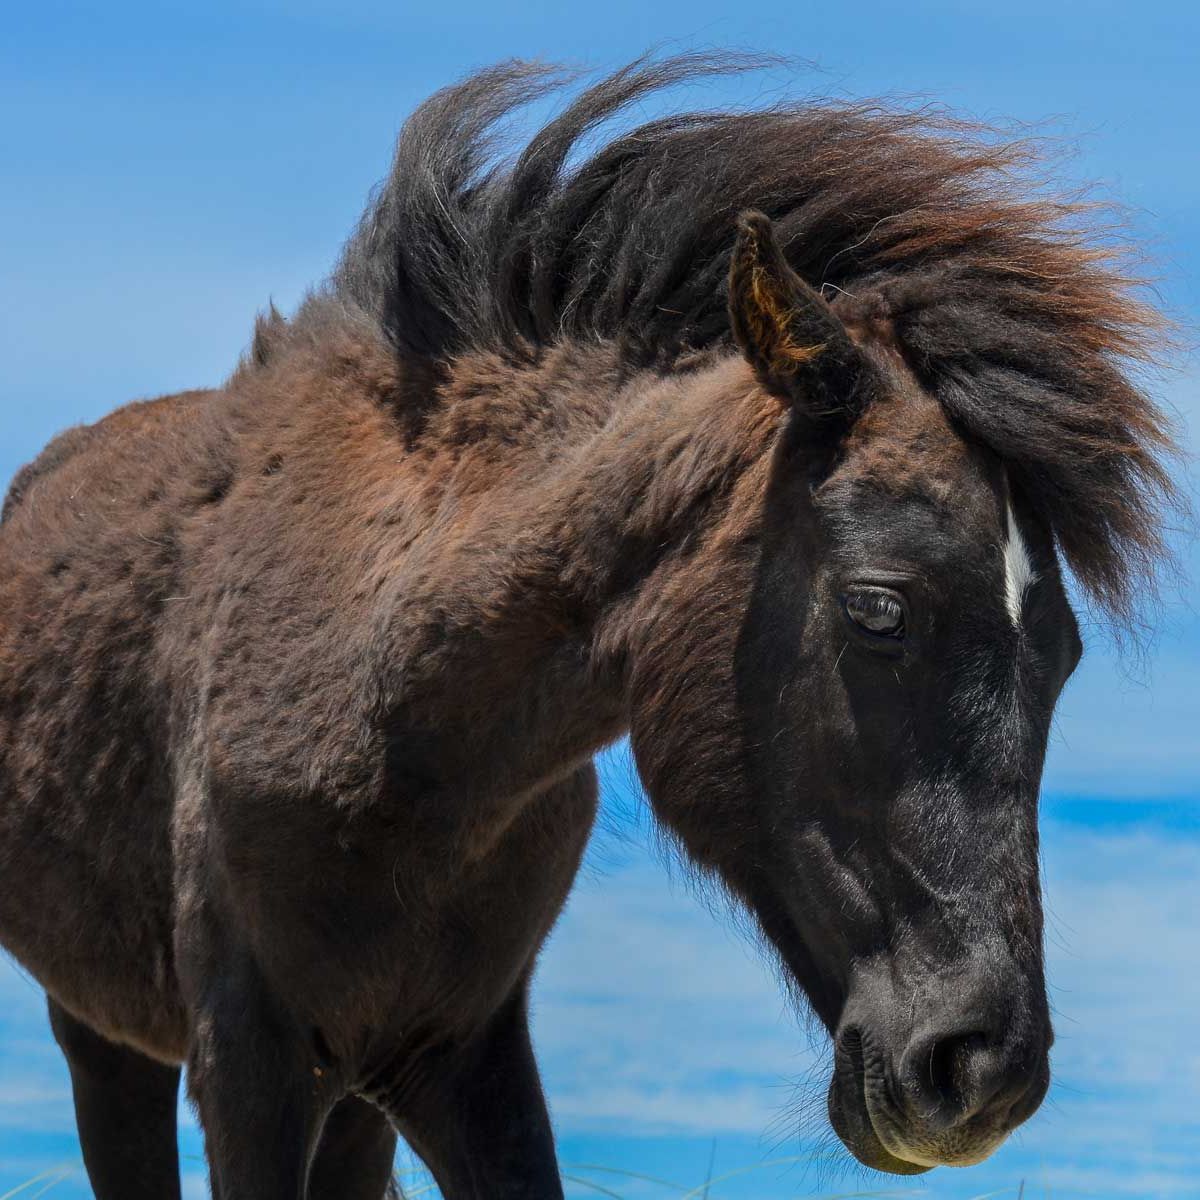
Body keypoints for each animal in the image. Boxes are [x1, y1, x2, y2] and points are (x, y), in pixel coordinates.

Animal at [0, 55, 1178, 1199]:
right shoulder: (251, 1068)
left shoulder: (456, 1059)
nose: (983, 1072)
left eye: (1064, 655)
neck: (386, 701)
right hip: (108, 1042)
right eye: (878, 606)